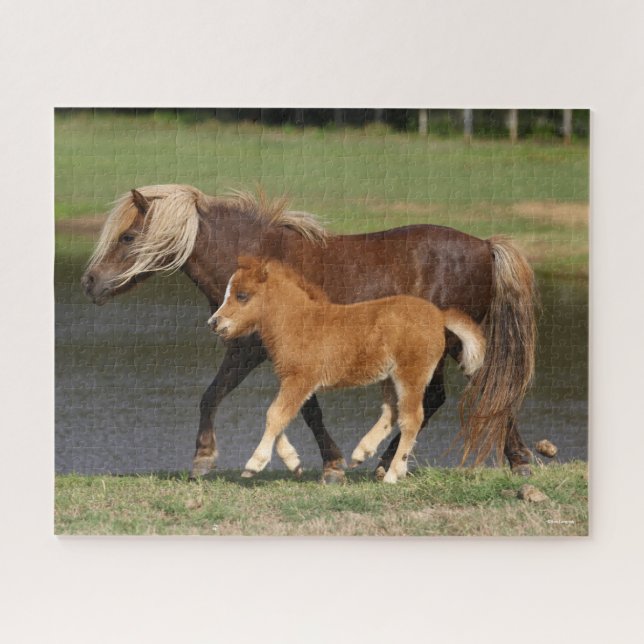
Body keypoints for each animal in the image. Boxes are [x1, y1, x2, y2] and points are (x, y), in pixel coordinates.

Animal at [209, 256, 487, 483]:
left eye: (242, 295)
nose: (214, 323)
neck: (299, 322)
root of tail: (439, 316)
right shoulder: (291, 380)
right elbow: (281, 416)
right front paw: (293, 462)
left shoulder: (300, 379)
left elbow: (276, 414)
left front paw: (254, 464)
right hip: (389, 377)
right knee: (391, 412)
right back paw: (361, 454)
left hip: (411, 375)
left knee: (412, 418)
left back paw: (393, 473)